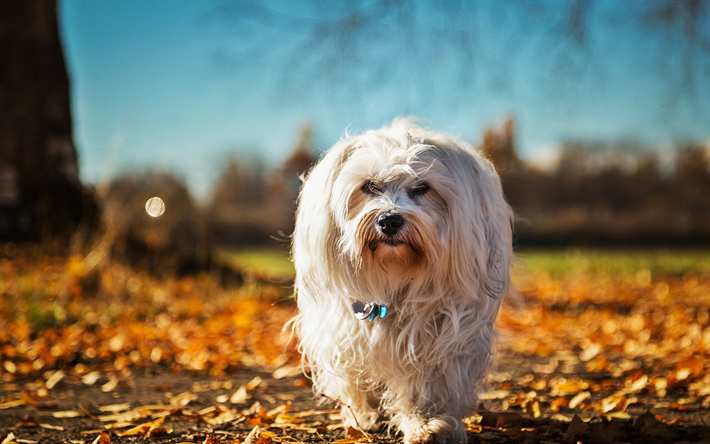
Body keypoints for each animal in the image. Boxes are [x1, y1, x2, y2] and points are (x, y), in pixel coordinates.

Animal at [292, 118, 516, 444]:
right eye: (369, 186)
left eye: (422, 187)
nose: (389, 220)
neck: (395, 276)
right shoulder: (345, 331)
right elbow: (354, 377)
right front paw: (363, 415)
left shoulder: (439, 337)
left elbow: (425, 386)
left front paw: (425, 423)